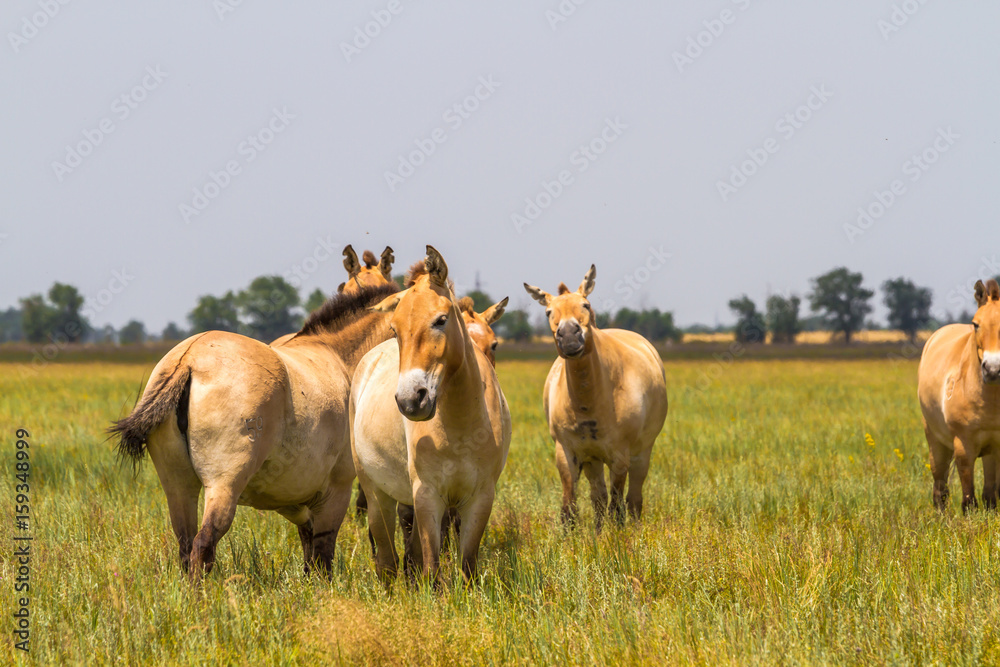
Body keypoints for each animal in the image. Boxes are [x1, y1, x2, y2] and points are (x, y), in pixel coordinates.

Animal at [109, 282, 399, 577]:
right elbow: (322, 556)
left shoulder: (296, 499)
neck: (341, 360)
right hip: (224, 485)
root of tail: (188, 358)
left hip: (178, 486)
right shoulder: (336, 492)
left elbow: (308, 545)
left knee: (185, 545)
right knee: (203, 544)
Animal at [351, 246, 511, 586]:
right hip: (376, 493)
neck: (461, 423)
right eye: (395, 329)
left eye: (440, 320)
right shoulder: (427, 495)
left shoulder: (480, 497)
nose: (411, 399)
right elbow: (432, 568)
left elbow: (467, 564)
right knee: (387, 558)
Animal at [524, 265, 668, 529]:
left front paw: (618, 535)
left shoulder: (620, 457)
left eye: (585, 305)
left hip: (642, 452)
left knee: (634, 499)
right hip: (593, 459)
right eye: (549, 311)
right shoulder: (567, 453)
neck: (590, 401)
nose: (569, 336)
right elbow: (570, 507)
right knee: (599, 498)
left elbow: (617, 505)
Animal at [918, 279, 1000, 512]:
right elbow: (968, 496)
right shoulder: (963, 445)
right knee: (940, 486)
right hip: (935, 440)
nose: (993, 369)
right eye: (976, 324)